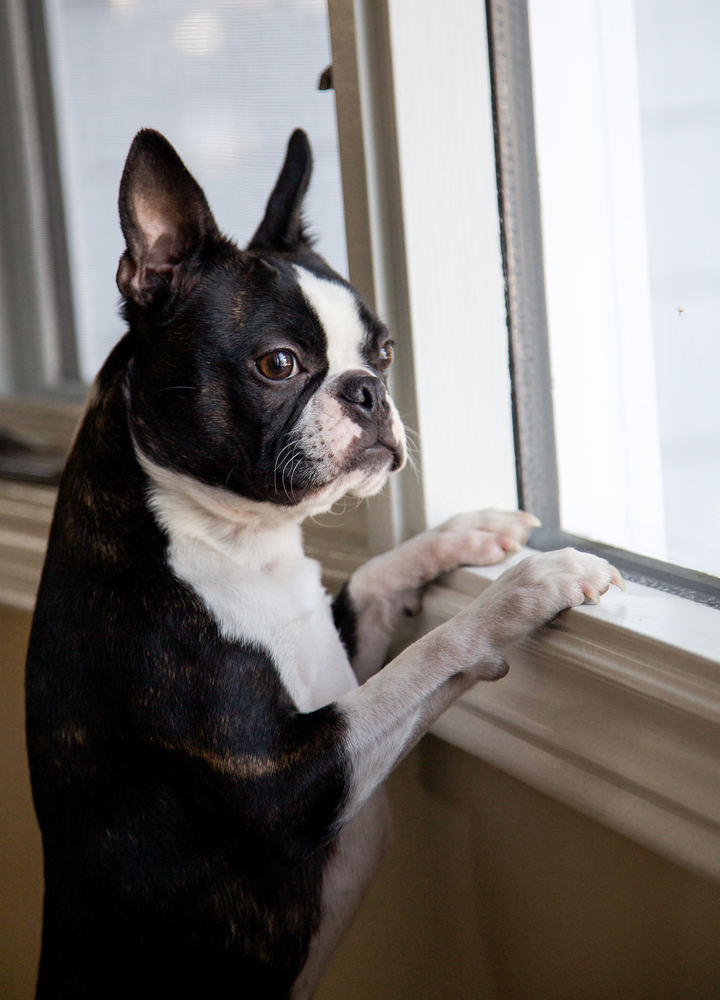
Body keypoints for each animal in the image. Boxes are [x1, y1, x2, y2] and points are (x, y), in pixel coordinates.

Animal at [25, 129, 624, 996]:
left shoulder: (332, 649)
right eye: (278, 364)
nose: (369, 389)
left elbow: (372, 584)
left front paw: (467, 534)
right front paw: (524, 588)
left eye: (385, 350)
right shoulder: (285, 788)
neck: (237, 543)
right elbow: (424, 659)